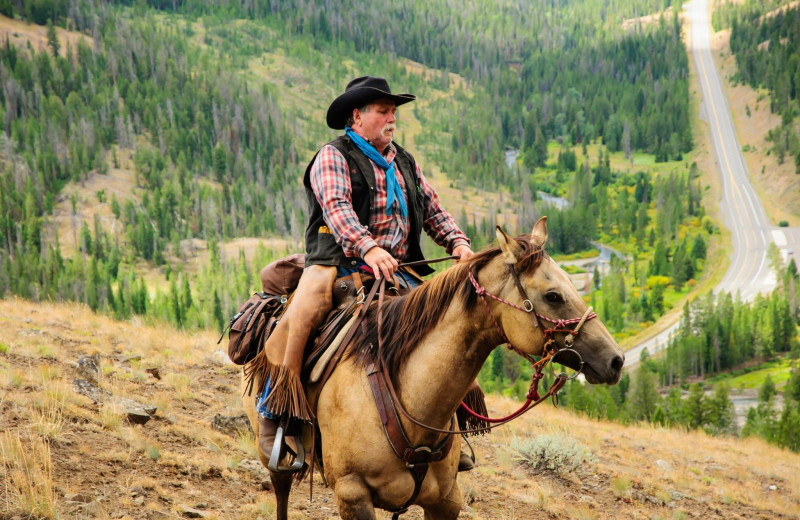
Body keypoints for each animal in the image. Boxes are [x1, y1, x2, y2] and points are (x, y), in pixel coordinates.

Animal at [238, 218, 624, 520]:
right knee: (280, 490)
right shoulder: (352, 496)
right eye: (553, 295)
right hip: (273, 454)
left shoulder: (445, 501)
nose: (616, 360)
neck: (411, 400)